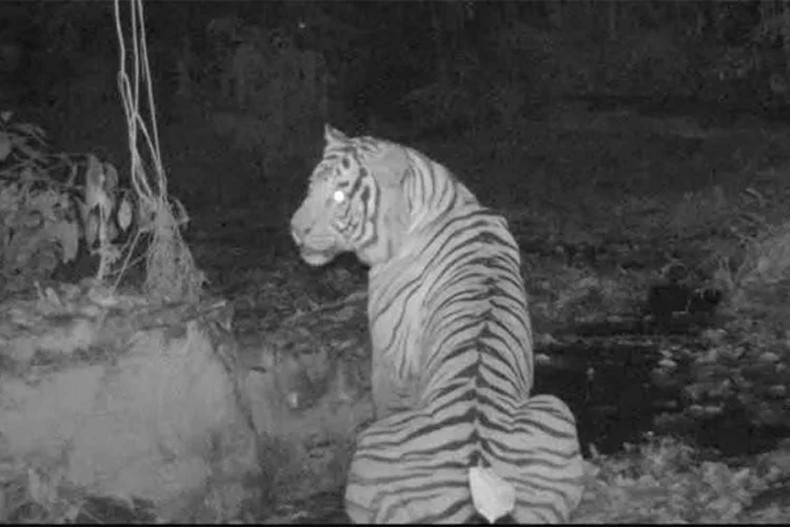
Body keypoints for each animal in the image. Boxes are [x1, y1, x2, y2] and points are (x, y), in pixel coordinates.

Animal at [290, 124, 584, 523]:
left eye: (338, 194)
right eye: (311, 186)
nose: (295, 230)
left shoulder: (389, 358)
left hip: (372, 445)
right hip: (556, 410)